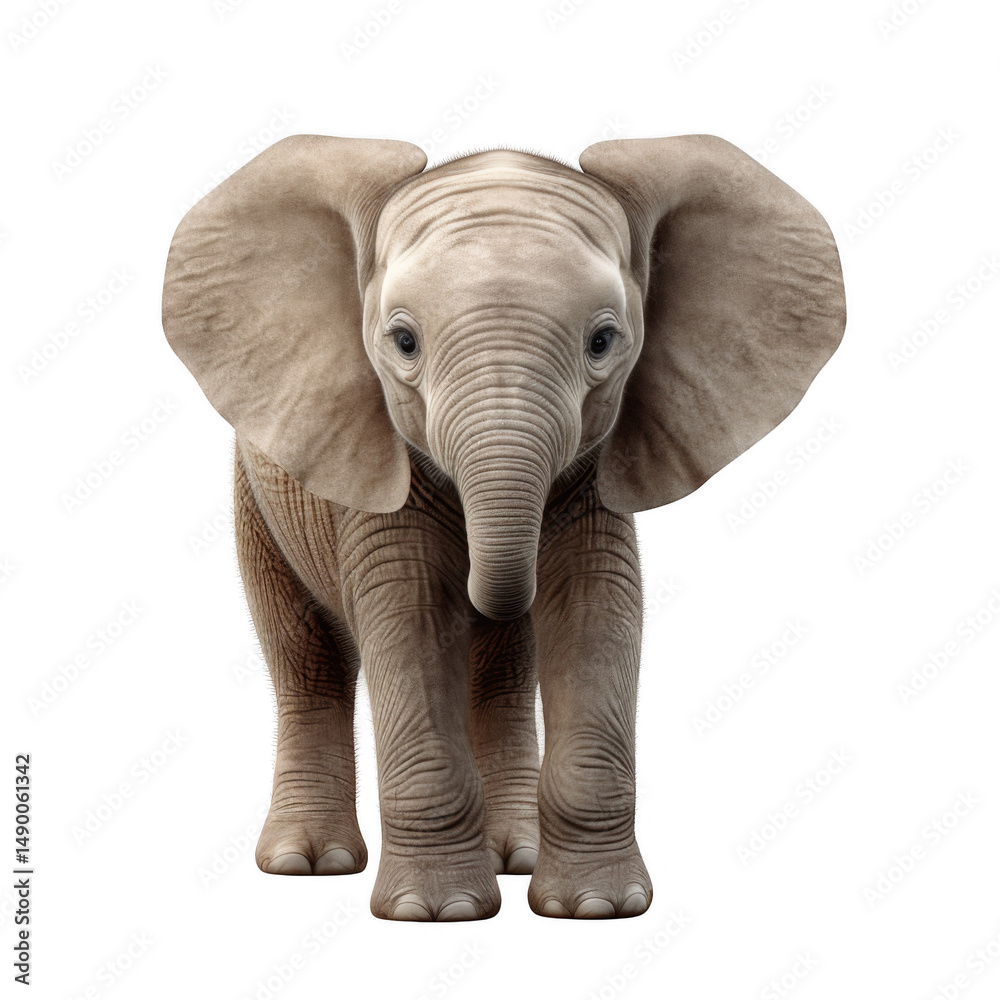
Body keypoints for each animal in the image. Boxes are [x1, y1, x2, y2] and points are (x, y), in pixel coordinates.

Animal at [161, 133, 845, 921]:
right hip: (257, 491)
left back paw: (514, 856)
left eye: (604, 341)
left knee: (503, 671)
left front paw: (597, 908)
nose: (489, 586)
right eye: (402, 342)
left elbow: (596, 609)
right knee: (307, 654)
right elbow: (410, 612)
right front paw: (437, 913)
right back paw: (310, 864)